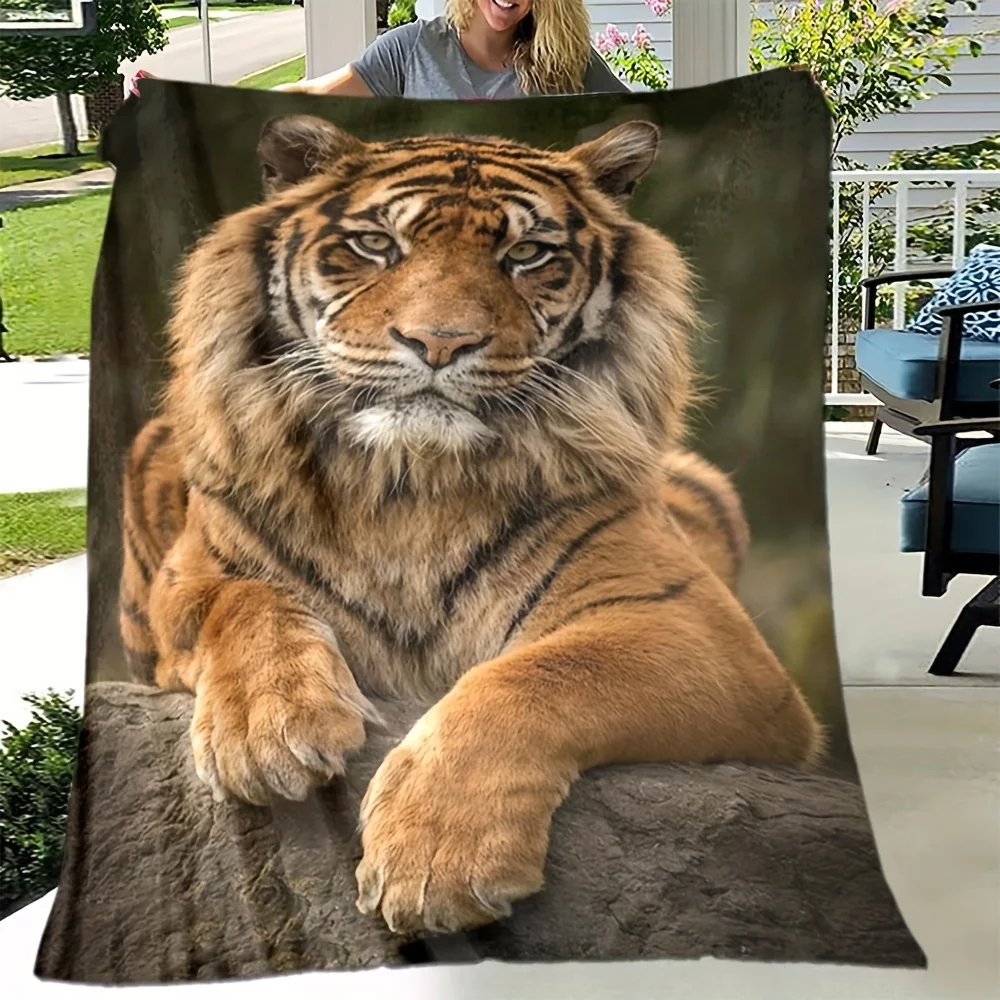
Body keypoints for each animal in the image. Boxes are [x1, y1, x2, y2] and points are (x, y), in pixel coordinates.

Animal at [118, 114, 823, 936]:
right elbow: (241, 599)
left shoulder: (698, 627)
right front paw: (268, 731)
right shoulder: (188, 579)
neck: (406, 484)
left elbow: (539, 674)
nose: (440, 343)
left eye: (526, 255)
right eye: (376, 244)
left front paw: (435, 859)